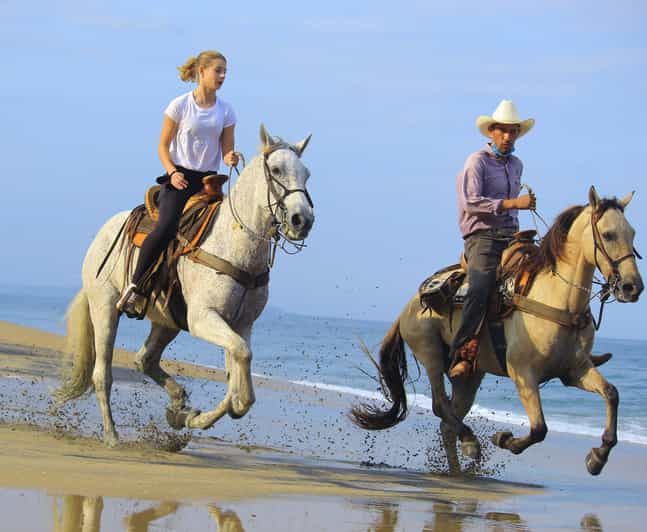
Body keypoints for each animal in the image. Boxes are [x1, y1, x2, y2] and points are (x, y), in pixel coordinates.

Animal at [57, 124, 316, 444]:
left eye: (306, 174)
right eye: (277, 169)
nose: (302, 220)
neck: (234, 244)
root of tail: (101, 235)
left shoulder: (241, 325)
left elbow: (240, 387)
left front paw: (187, 416)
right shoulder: (203, 318)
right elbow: (241, 366)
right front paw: (194, 417)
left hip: (166, 321)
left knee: (144, 360)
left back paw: (178, 401)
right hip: (105, 307)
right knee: (102, 375)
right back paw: (112, 435)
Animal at [354, 187, 644, 474]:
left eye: (632, 233)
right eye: (607, 234)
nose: (632, 287)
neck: (558, 299)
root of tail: (408, 307)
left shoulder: (574, 370)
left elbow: (612, 394)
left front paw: (598, 457)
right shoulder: (522, 373)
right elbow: (539, 429)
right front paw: (505, 439)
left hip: (469, 376)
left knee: (448, 420)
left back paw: (459, 469)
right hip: (431, 354)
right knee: (440, 405)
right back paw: (470, 442)